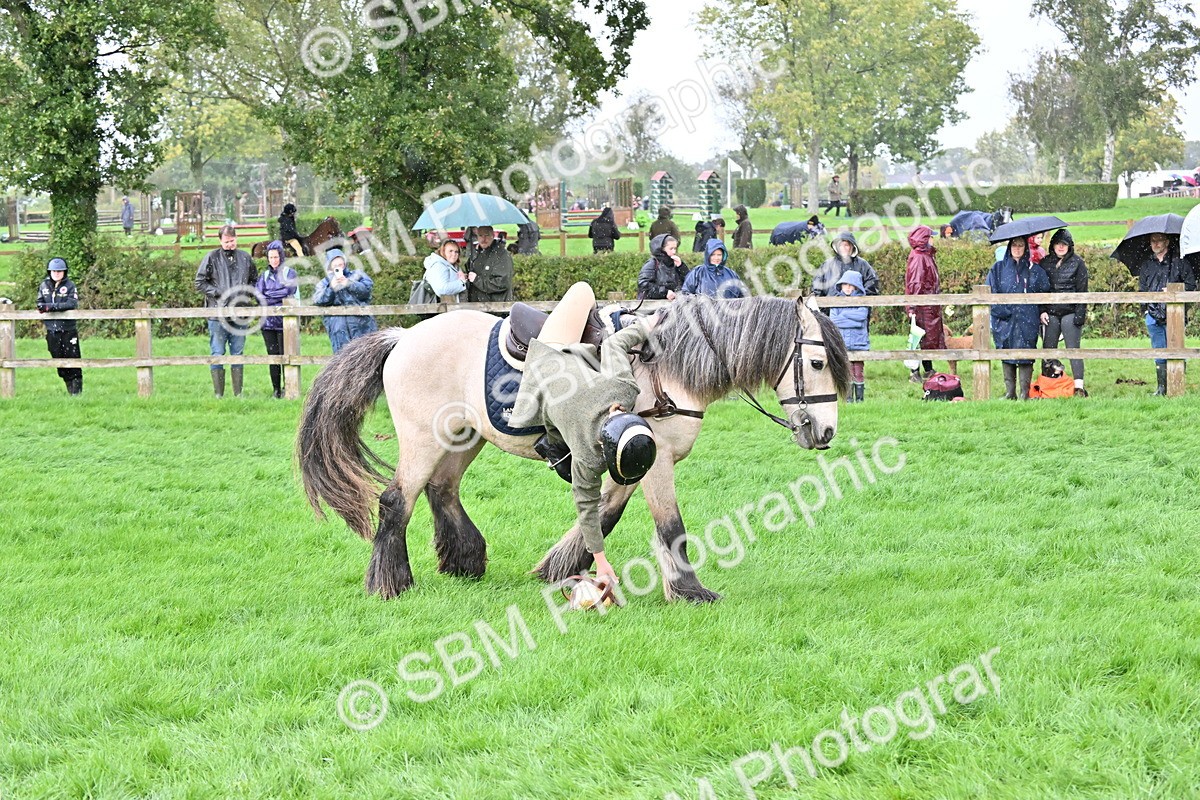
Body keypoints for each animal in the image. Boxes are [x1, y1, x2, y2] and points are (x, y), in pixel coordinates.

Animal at [296, 294, 851, 603]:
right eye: (818, 363)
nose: (825, 433)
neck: (666, 365)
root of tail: (401, 336)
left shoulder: (627, 458)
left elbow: (603, 514)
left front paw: (559, 567)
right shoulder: (654, 462)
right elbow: (670, 527)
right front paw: (691, 592)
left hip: (461, 436)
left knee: (442, 490)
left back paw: (464, 560)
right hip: (423, 439)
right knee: (397, 501)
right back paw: (391, 583)